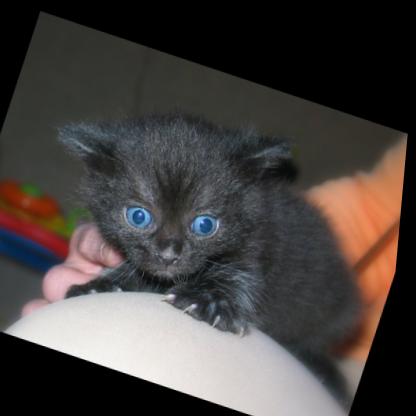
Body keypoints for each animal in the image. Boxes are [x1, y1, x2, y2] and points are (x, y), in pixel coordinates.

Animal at [60, 112, 361, 408]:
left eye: (205, 224)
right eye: (138, 216)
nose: (168, 254)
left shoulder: (260, 242)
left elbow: (237, 275)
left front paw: (208, 301)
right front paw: (101, 285)